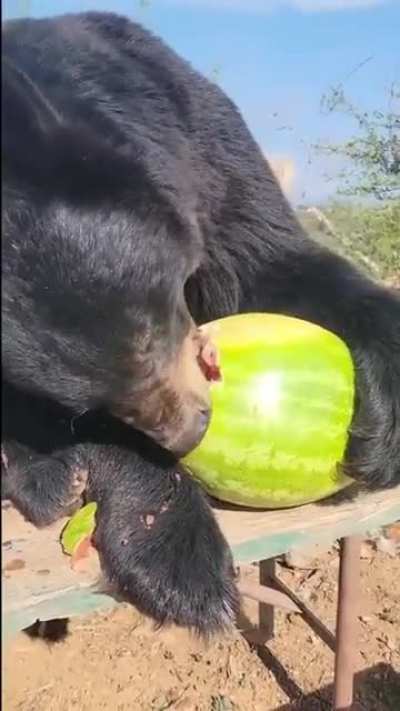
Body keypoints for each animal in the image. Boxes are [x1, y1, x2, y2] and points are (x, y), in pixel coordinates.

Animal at [2, 11, 400, 635]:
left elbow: (270, 256)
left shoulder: (200, 134)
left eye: (156, 332)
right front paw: (180, 560)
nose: (192, 432)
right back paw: (47, 476)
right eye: (95, 400)